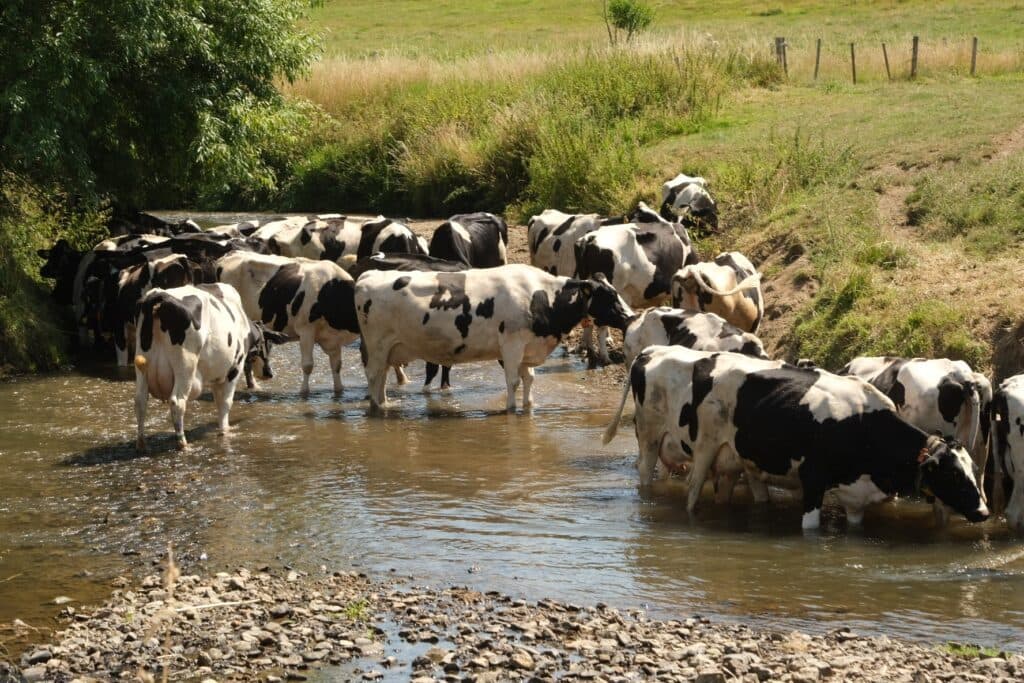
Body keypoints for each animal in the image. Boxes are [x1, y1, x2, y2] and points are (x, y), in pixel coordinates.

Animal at [132, 283, 286, 452]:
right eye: (268, 344)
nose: (269, 373)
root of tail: (160, 296)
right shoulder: (233, 370)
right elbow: (225, 403)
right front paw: (225, 431)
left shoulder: (216, 376)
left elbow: (218, 401)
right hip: (185, 366)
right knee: (177, 402)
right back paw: (183, 444)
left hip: (142, 365)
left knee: (140, 401)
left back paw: (141, 444)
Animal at [215, 252, 360, 395]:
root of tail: (231, 254)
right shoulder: (306, 330)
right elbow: (308, 365)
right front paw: (304, 392)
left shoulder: (334, 339)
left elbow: (337, 365)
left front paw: (339, 391)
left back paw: (253, 386)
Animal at [355, 265, 635, 412]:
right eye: (608, 296)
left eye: (615, 291)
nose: (631, 316)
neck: (541, 296)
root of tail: (369, 274)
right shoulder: (511, 345)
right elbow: (513, 381)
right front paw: (511, 410)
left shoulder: (527, 348)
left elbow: (529, 379)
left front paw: (529, 406)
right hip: (376, 346)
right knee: (373, 375)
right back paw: (378, 408)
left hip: (388, 349)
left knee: (381, 377)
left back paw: (385, 404)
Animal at [574, 215, 698, 365]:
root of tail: (589, 238)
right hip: (606, 293)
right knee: (600, 327)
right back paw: (604, 357)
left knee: (589, 322)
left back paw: (588, 349)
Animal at [603, 346, 989, 530]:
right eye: (953, 475)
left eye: (974, 472)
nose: (984, 511)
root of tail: (652, 351)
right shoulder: (813, 481)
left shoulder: (856, 497)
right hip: (667, 442)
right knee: (678, 489)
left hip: (732, 460)